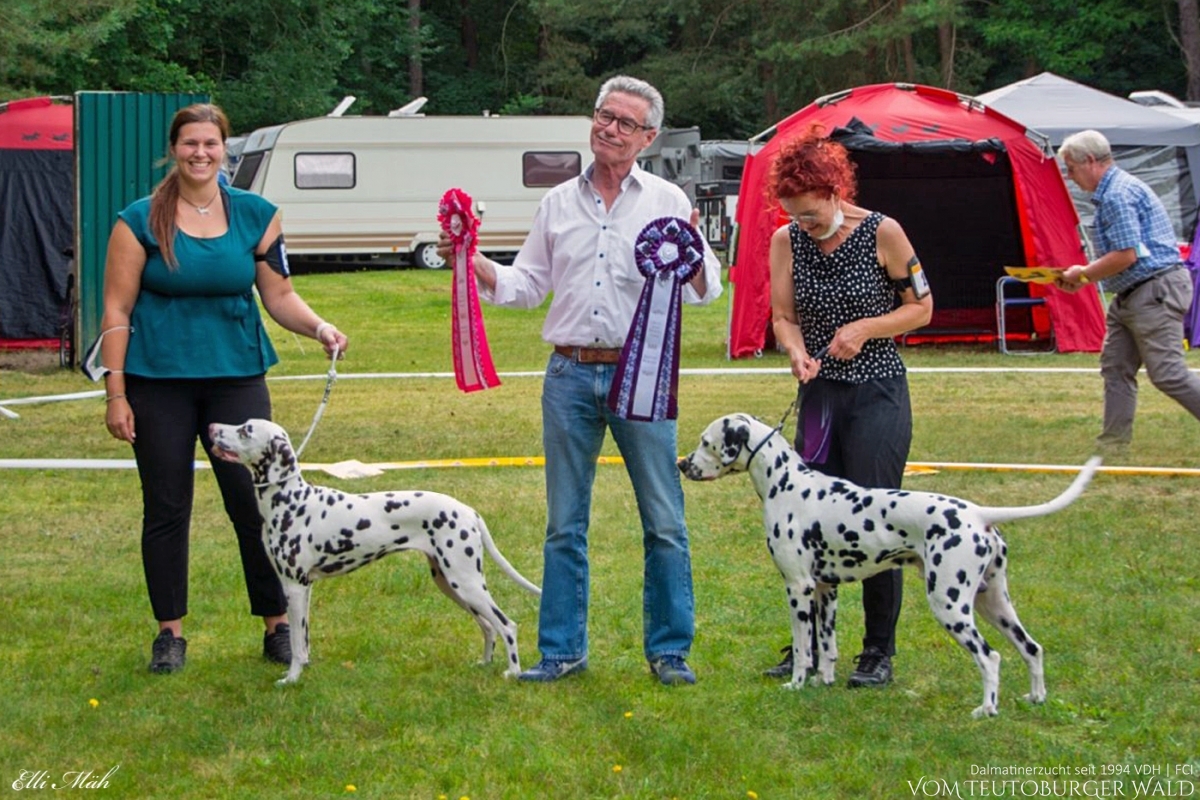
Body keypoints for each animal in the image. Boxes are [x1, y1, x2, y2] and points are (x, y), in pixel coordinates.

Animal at [210, 417, 540, 686]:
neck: (292, 500)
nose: (212, 427)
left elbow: (294, 642)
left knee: (506, 625)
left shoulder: (293, 586)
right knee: (488, 626)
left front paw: (291, 679)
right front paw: (303, 670)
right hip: (450, 583)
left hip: (465, 581)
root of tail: (469, 511)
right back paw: (484, 663)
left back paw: (513, 672)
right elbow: (302, 639)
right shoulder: (305, 588)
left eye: (245, 430)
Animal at [681, 412, 1099, 719]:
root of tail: (979, 514)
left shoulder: (798, 587)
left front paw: (797, 684)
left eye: (705, 441)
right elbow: (827, 646)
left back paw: (986, 709)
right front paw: (822, 682)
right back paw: (1036, 698)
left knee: (990, 656)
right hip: (994, 603)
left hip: (950, 605)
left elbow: (803, 648)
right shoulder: (826, 590)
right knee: (1032, 648)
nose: (684, 465)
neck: (787, 484)